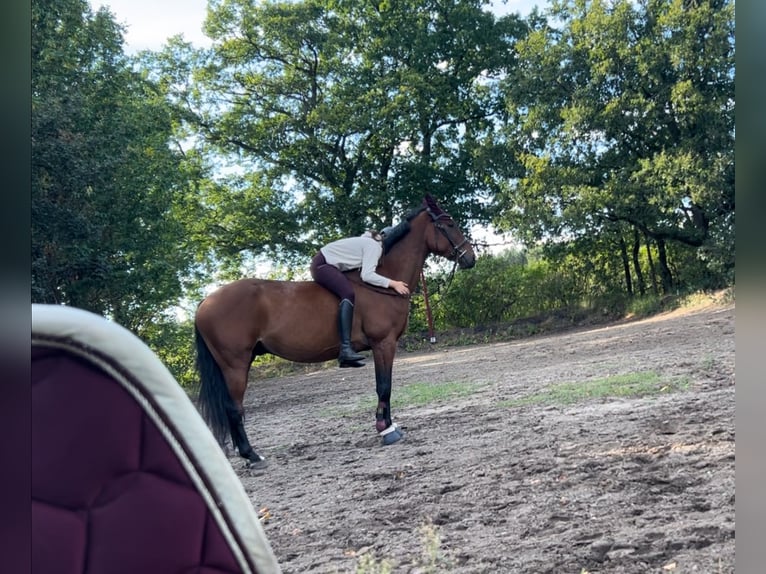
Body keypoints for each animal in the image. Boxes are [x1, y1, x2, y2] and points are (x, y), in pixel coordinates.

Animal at [194, 195, 476, 468]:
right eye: (450, 223)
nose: (471, 257)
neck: (383, 283)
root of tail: (205, 303)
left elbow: (385, 386)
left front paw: (388, 425)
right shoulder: (384, 344)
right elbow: (384, 386)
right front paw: (385, 430)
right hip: (235, 365)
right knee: (234, 409)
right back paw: (252, 456)